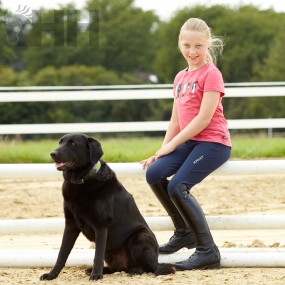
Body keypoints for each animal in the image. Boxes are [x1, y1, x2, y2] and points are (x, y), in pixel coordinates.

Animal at [39, 133, 173, 280]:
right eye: (60, 142)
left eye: (72, 144)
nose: (52, 153)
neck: (82, 180)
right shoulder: (70, 225)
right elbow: (62, 253)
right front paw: (52, 274)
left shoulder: (101, 225)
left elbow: (97, 255)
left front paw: (96, 275)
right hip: (112, 251)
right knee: (118, 268)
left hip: (140, 237)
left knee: (153, 267)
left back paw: (136, 270)